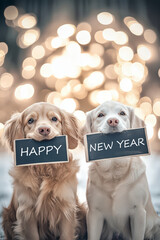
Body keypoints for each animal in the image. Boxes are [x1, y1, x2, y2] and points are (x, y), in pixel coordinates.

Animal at [2, 102, 86, 240]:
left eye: (54, 119)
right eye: (30, 120)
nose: (44, 129)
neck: (45, 167)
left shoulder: (66, 209)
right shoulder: (27, 212)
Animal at [84, 101, 159, 240]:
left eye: (122, 113)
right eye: (100, 115)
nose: (113, 121)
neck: (114, 171)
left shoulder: (138, 212)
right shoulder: (94, 214)